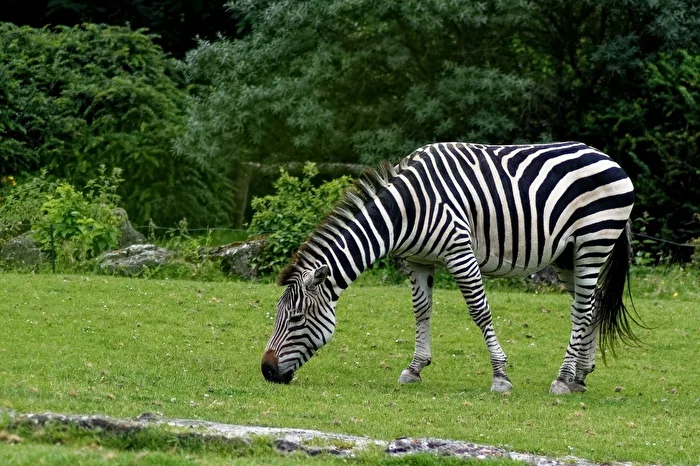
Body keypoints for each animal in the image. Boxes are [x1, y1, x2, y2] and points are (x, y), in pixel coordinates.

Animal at [261, 141, 639, 394]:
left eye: (296, 319)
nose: (266, 371)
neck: (406, 210)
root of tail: (607, 156)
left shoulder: (459, 251)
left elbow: (479, 311)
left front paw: (500, 376)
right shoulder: (416, 260)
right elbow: (421, 311)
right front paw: (414, 369)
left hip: (594, 241)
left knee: (582, 309)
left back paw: (563, 378)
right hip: (568, 254)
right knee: (591, 304)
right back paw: (580, 376)